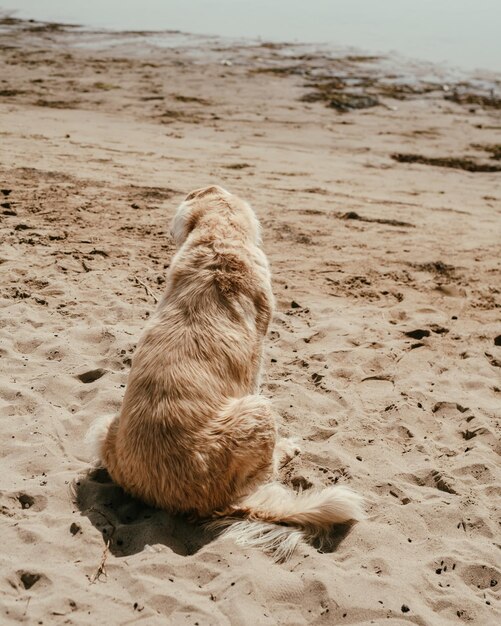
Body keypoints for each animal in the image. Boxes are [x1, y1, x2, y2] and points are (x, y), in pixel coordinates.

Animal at [87, 184, 364, 556]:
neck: (219, 242)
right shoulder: (258, 354)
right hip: (259, 410)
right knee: (267, 469)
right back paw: (286, 450)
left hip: (105, 426)